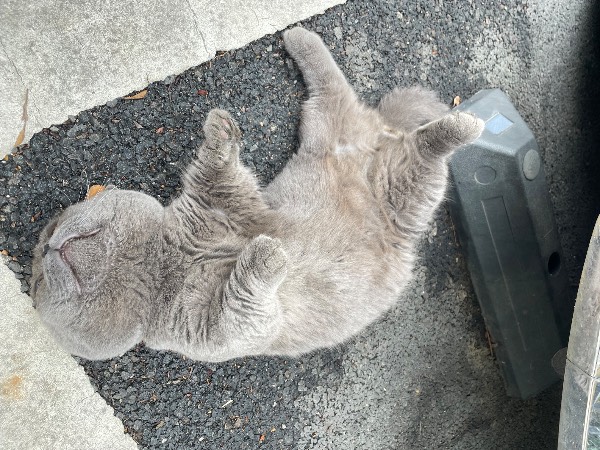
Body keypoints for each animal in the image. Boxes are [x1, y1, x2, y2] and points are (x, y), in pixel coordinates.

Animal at [30, 27, 483, 362]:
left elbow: (215, 172)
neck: (163, 260)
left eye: (51, 227)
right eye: (36, 282)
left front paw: (220, 131)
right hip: (402, 187)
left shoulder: (229, 201)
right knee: (404, 141)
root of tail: (382, 136)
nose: (45, 246)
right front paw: (268, 254)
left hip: (345, 140)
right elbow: (244, 304)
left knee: (350, 97)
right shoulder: (222, 330)